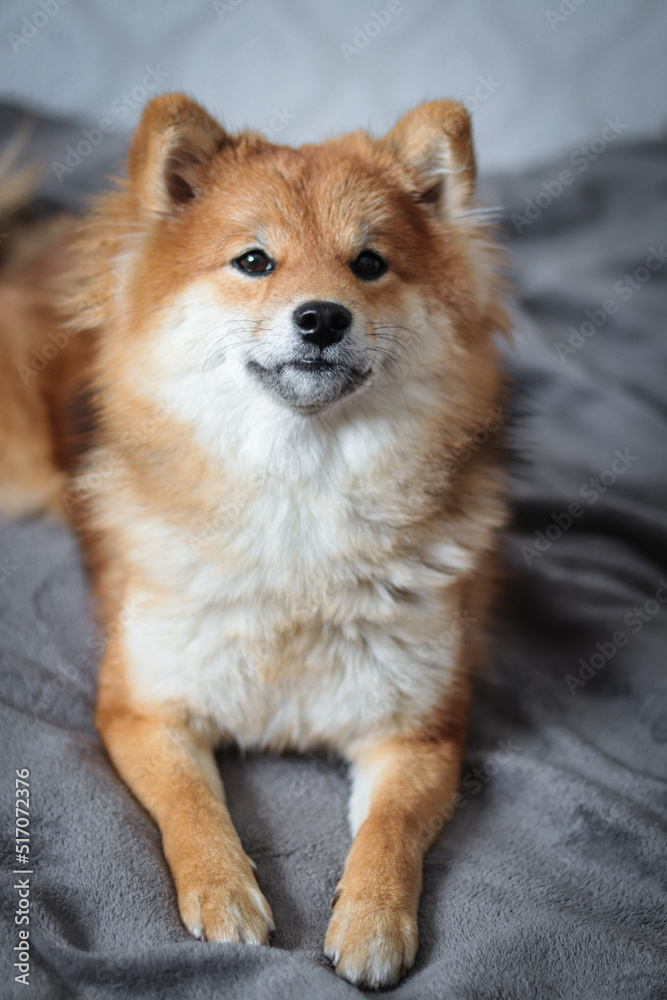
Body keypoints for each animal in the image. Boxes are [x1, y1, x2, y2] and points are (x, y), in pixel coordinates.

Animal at [0, 97, 508, 988]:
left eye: (369, 263)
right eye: (253, 261)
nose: (322, 316)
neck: (298, 502)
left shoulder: (419, 732)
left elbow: (391, 834)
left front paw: (372, 920)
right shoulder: (143, 708)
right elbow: (192, 808)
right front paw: (224, 893)